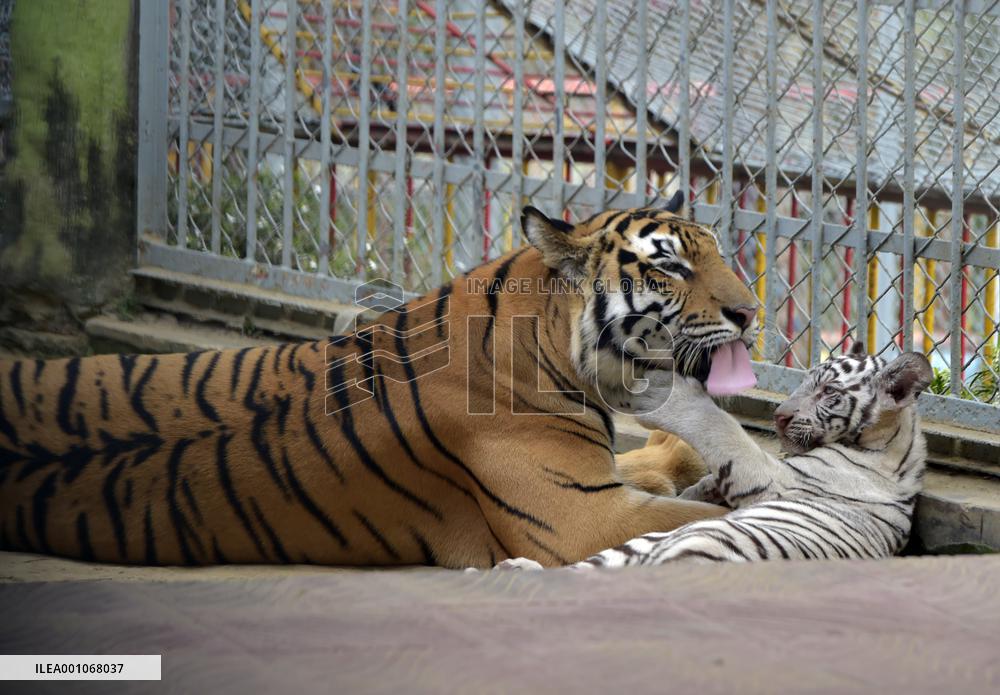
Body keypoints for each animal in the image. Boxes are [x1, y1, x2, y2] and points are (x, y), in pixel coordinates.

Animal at [0, 196, 760, 569]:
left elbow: (662, 471)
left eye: (717, 252)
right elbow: (695, 516)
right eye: (670, 266)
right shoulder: (585, 516)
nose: (751, 312)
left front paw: (702, 465)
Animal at [496, 344, 932, 571]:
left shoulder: (775, 480)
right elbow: (704, 483)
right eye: (805, 381)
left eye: (828, 393)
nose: (779, 415)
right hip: (638, 544)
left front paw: (663, 392)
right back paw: (516, 568)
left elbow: (724, 431)